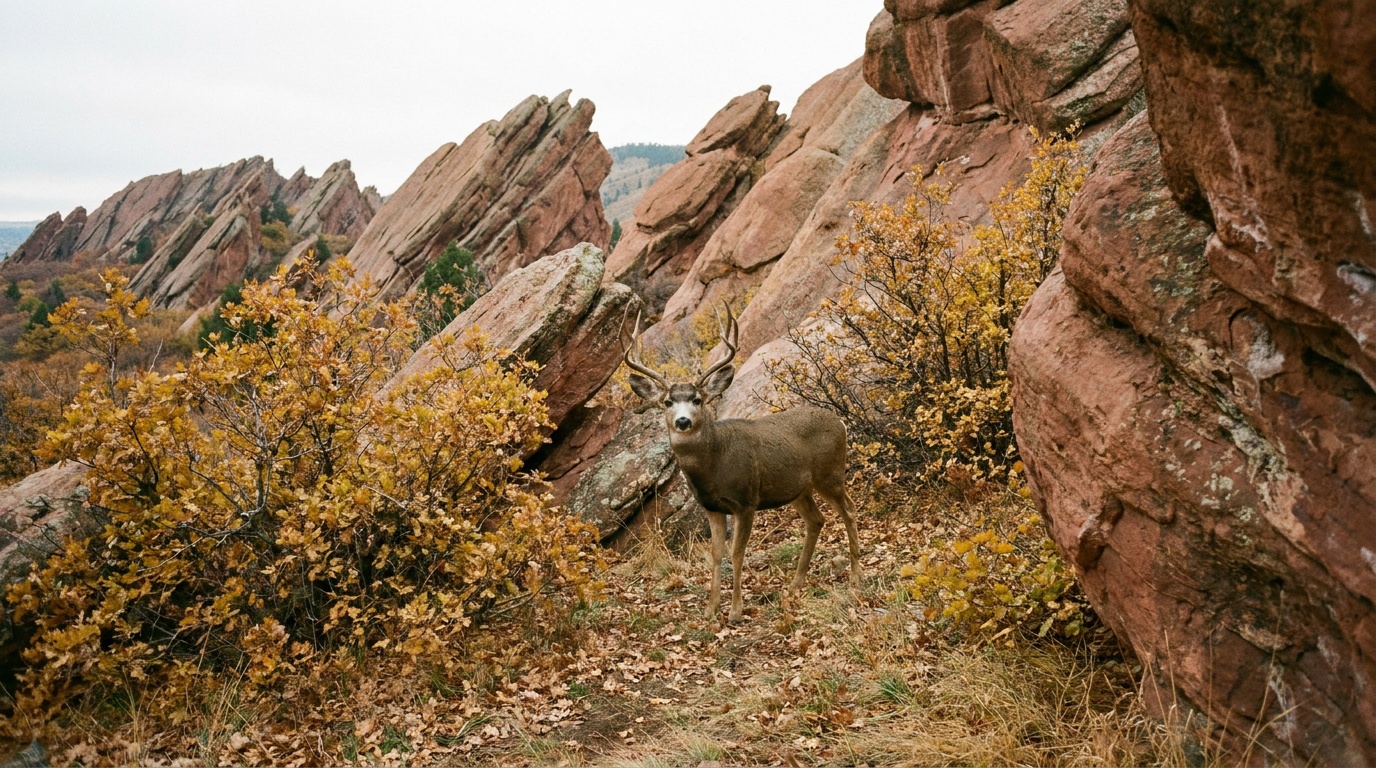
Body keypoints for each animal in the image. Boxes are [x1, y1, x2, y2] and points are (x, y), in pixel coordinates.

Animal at [622, 303, 862, 623]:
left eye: (697, 400)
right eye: (667, 402)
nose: (683, 421)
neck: (714, 465)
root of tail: (841, 423)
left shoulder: (746, 501)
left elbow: (737, 553)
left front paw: (735, 611)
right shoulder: (712, 508)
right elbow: (716, 554)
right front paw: (711, 609)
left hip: (830, 473)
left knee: (849, 509)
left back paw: (856, 576)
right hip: (798, 489)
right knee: (817, 520)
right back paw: (795, 584)